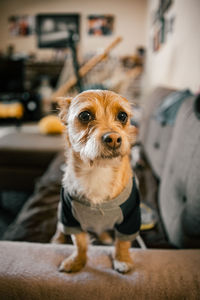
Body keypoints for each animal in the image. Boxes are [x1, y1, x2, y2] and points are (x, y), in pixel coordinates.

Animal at [52, 89, 141, 274]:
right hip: (60, 211)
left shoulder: (131, 219)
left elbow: (123, 242)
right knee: (59, 227)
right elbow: (80, 243)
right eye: (85, 116)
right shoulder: (70, 217)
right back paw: (57, 239)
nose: (113, 138)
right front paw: (77, 261)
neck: (98, 170)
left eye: (122, 116)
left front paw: (122, 259)